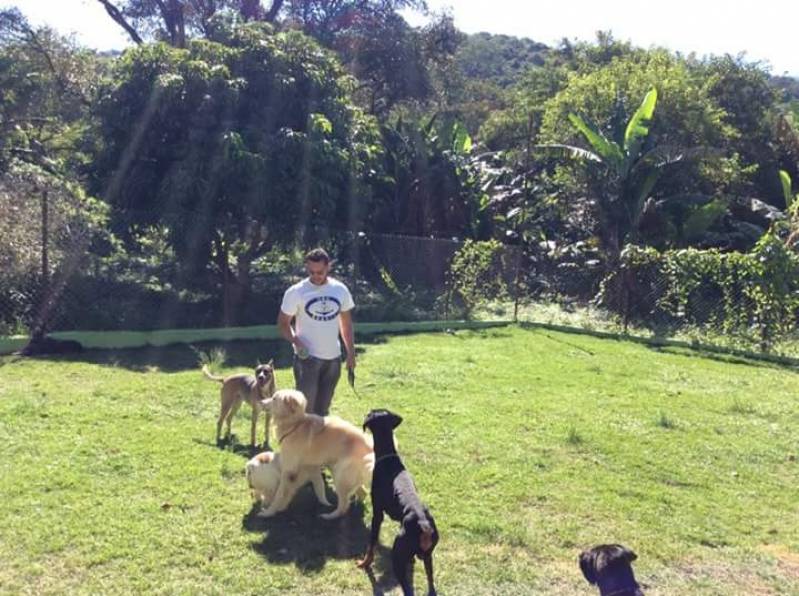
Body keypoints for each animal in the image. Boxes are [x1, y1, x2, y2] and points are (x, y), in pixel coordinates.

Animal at [258, 388, 374, 520]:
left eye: (274, 398)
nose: (261, 402)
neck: (295, 424)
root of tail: (370, 448)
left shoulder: (288, 470)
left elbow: (279, 494)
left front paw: (269, 512)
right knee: (361, 493)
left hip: (339, 475)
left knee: (343, 506)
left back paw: (329, 516)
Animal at [360, 408, 440, 596]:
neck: (388, 457)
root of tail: (424, 524)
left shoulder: (377, 514)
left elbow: (371, 544)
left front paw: (365, 563)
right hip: (428, 557)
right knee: (431, 581)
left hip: (397, 558)